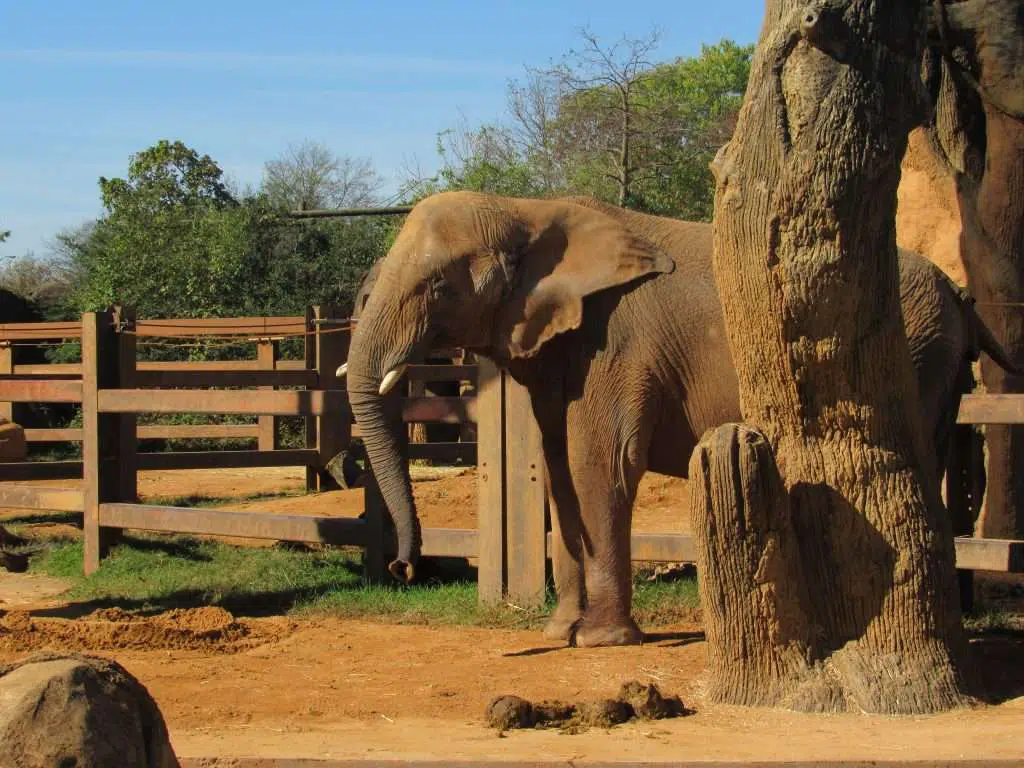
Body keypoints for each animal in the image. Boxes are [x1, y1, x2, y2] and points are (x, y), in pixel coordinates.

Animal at [339, 192, 1019, 651]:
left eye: (437, 286)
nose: (403, 568)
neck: (527, 209)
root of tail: (958, 294)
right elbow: (559, 473)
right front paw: (560, 634)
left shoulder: (615, 341)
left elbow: (600, 465)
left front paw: (601, 642)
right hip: (938, 362)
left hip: (913, 353)